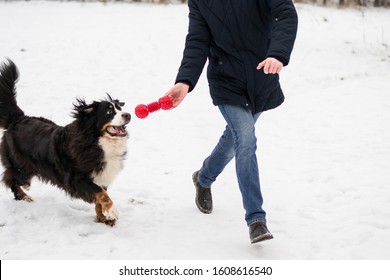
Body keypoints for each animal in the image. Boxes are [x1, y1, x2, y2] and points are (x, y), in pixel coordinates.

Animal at [0, 59, 131, 225]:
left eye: (120, 108)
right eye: (109, 111)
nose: (128, 115)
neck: (96, 141)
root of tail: (19, 119)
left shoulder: (101, 176)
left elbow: (99, 199)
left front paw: (102, 218)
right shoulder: (77, 178)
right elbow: (101, 194)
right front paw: (112, 211)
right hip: (21, 167)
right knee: (11, 179)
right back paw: (24, 196)